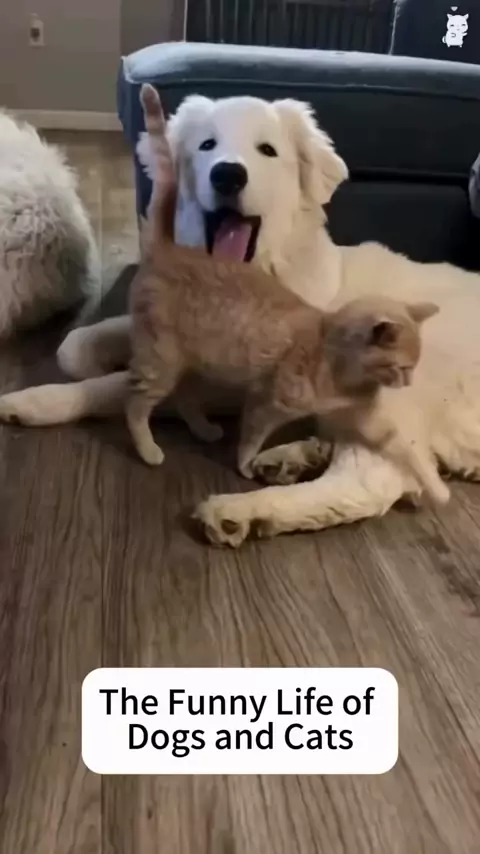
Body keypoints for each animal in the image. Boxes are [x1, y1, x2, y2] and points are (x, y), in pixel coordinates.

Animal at [126, 85, 446, 508]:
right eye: (402, 367)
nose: (408, 383)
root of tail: (166, 247)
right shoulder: (265, 402)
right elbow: (251, 439)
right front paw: (247, 466)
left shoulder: (371, 421)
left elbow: (406, 449)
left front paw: (438, 488)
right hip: (160, 362)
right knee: (135, 404)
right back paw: (149, 450)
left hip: (189, 362)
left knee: (184, 397)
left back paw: (203, 429)